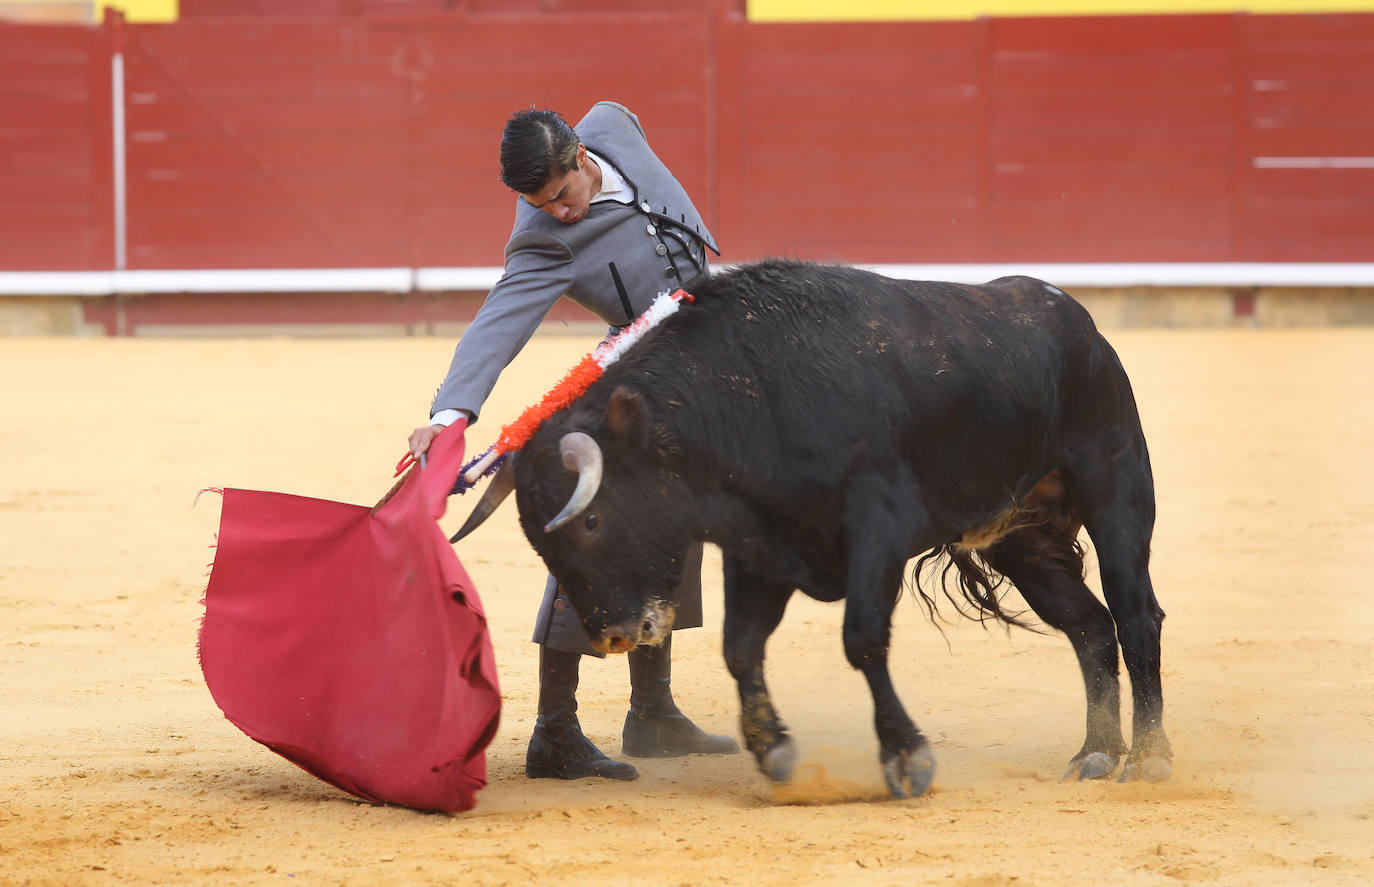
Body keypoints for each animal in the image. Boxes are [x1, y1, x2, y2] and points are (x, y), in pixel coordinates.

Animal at [458, 256, 1170, 801]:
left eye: (592, 520)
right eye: (540, 540)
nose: (610, 635)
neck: (749, 391)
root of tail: (1072, 317)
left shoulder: (879, 528)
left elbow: (862, 639)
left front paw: (906, 759)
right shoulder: (759, 549)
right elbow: (740, 648)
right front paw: (774, 752)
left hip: (1115, 487)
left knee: (1135, 614)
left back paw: (1148, 758)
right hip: (1020, 536)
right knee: (1089, 626)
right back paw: (1096, 754)